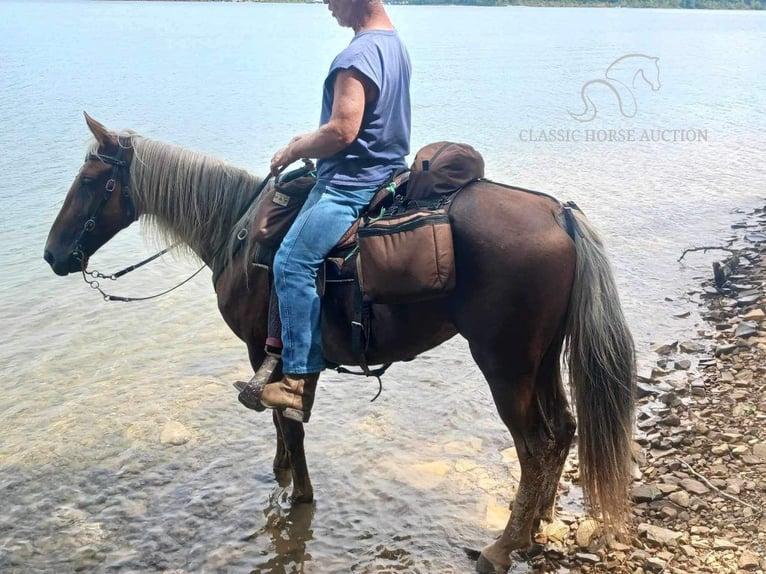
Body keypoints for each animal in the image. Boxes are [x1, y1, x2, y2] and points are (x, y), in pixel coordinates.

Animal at [45, 113, 640, 574]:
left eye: (92, 180)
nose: (53, 254)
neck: (236, 232)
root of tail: (558, 214)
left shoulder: (264, 352)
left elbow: (287, 419)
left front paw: (299, 493)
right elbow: (282, 425)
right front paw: (282, 471)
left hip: (504, 364)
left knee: (535, 445)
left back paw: (502, 546)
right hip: (540, 360)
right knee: (563, 430)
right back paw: (538, 522)